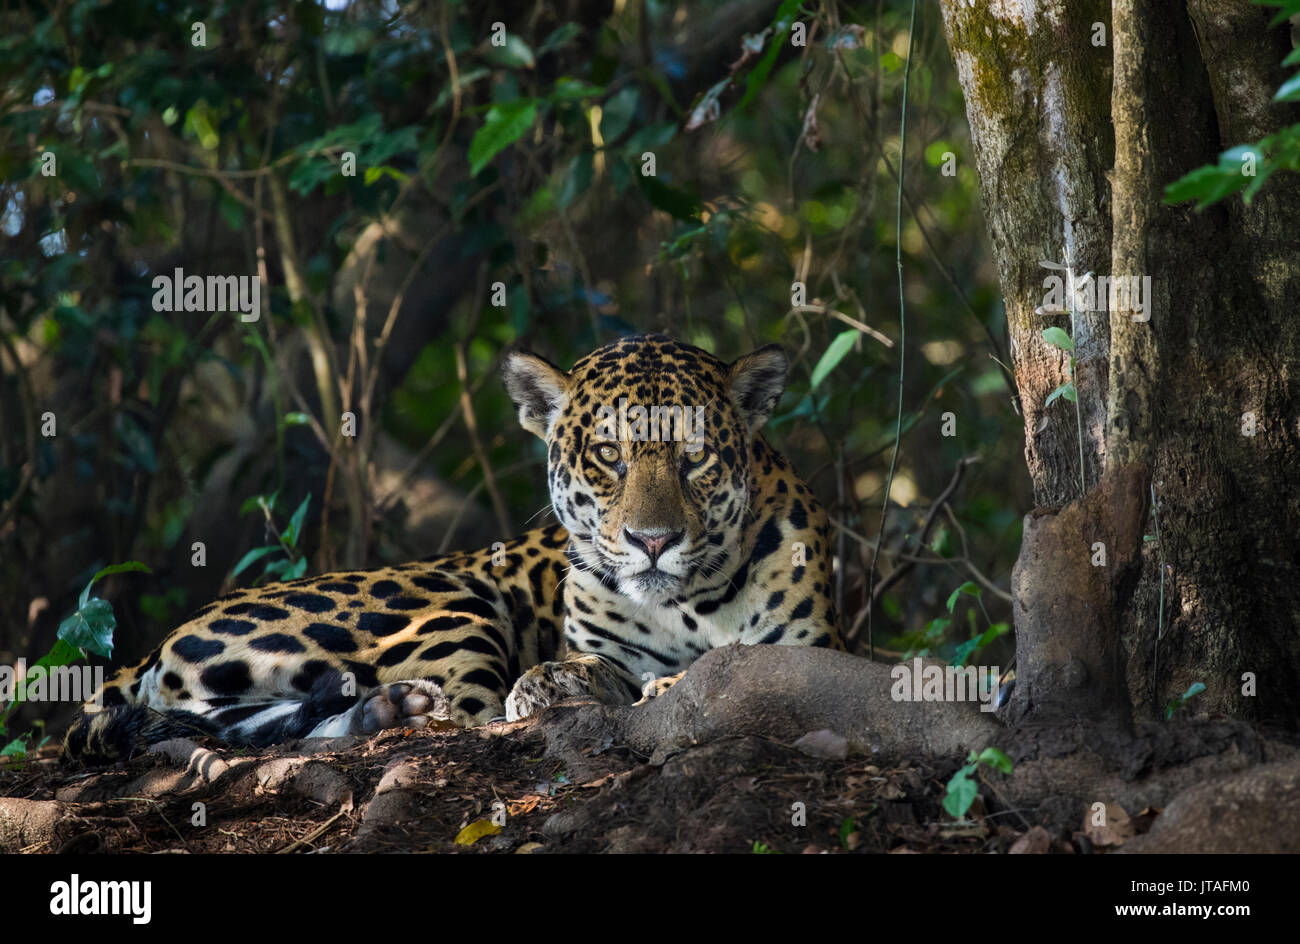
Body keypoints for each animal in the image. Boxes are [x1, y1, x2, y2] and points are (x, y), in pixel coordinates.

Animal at [64, 333, 842, 762]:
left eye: (695, 457)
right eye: (609, 456)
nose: (652, 541)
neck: (689, 604)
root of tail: (144, 651)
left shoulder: (812, 650)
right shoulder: (601, 646)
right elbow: (601, 669)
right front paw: (563, 681)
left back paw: (382, 712)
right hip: (448, 606)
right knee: (462, 716)